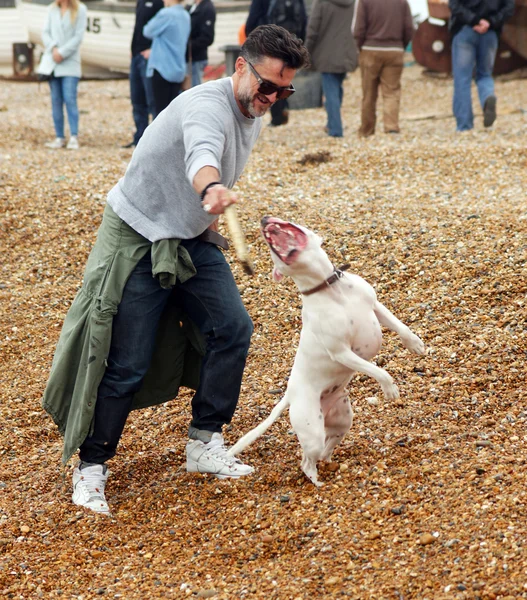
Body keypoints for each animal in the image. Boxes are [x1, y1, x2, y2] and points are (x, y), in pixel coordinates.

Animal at [229, 217, 426, 488]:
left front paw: (415, 344)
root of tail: (290, 395)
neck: (330, 289)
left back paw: (329, 461)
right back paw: (316, 480)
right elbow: (377, 370)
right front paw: (390, 389)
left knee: (327, 444)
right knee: (306, 459)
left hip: (342, 418)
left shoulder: (375, 307)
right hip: (311, 430)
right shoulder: (342, 352)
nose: (264, 219)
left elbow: (400, 326)